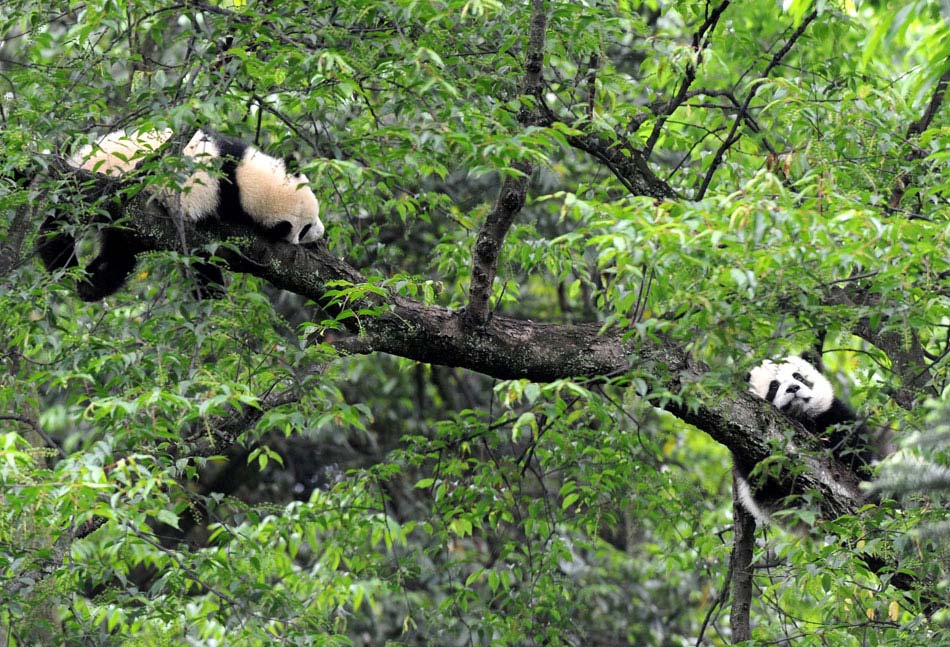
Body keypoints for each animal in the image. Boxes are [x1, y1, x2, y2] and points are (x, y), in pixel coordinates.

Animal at [40, 129, 328, 302]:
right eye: (304, 228)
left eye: (315, 215)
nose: (322, 233)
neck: (240, 179)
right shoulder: (209, 203)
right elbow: (200, 248)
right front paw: (212, 291)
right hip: (103, 196)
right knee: (60, 224)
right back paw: (60, 263)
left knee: (119, 254)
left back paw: (90, 284)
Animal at [740, 354, 880, 528]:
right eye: (774, 386)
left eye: (798, 377)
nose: (793, 388)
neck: (800, 416)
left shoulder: (832, 414)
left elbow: (855, 446)